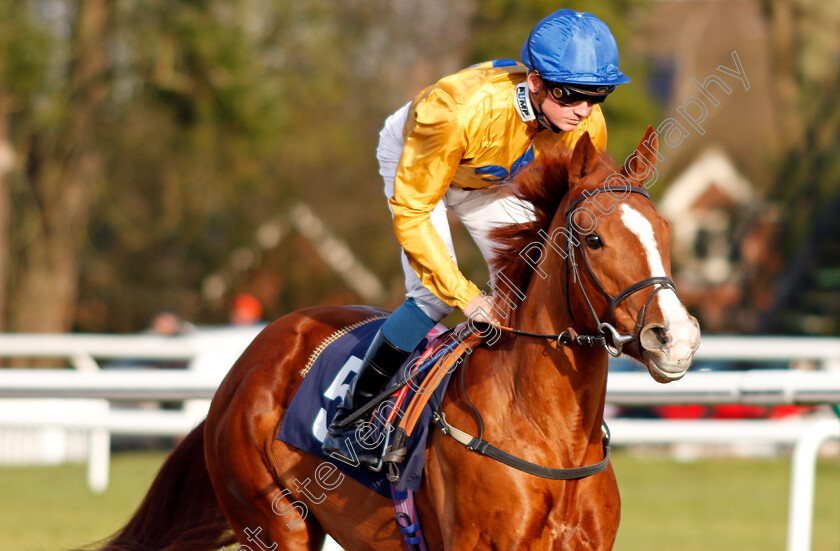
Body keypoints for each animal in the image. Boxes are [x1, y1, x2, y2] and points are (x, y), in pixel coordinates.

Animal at [95, 127, 700, 551]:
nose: (675, 338)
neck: (552, 437)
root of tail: (248, 361)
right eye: (593, 239)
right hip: (273, 522)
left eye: (665, 231)